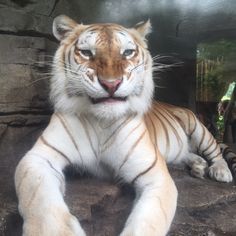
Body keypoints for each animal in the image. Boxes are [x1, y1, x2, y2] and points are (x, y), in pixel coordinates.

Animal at [14, 15, 232, 236]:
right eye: (86, 52)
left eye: (127, 52)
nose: (111, 84)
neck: (101, 122)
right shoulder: (39, 157)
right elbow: (39, 199)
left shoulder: (155, 174)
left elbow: (148, 222)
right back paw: (198, 165)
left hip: (198, 128)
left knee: (216, 152)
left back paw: (220, 172)